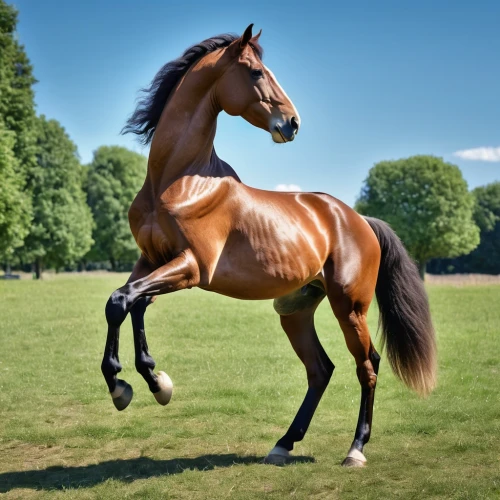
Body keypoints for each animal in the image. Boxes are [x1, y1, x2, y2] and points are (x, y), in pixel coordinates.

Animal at [102, 23, 438, 466]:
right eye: (257, 72)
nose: (293, 123)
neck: (178, 181)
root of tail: (358, 219)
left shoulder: (191, 267)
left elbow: (123, 301)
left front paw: (131, 385)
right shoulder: (151, 261)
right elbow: (127, 302)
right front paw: (148, 383)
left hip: (350, 307)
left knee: (367, 366)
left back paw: (355, 450)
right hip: (295, 311)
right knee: (321, 369)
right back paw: (284, 443)